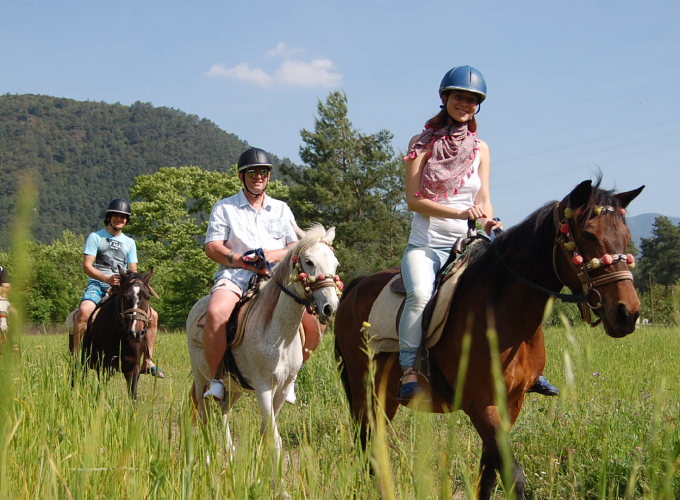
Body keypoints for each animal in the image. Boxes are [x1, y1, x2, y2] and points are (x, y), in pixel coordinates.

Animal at [81, 266, 154, 398]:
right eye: (125, 296)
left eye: (147, 297)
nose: (135, 332)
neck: (121, 336)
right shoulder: (104, 367)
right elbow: (100, 393)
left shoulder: (132, 369)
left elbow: (133, 397)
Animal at [186, 225, 342, 458]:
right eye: (309, 262)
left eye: (335, 263)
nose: (330, 308)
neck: (280, 337)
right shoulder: (263, 387)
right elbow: (274, 439)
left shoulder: (282, 390)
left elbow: (265, 433)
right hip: (201, 379)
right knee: (205, 418)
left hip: (235, 388)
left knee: (223, 412)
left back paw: (229, 452)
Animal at [338, 181, 644, 500]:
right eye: (587, 234)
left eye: (626, 236)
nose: (627, 312)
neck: (506, 314)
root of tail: (355, 287)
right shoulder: (480, 404)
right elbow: (513, 475)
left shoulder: (511, 403)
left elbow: (488, 475)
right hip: (364, 389)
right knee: (368, 443)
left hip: (384, 395)